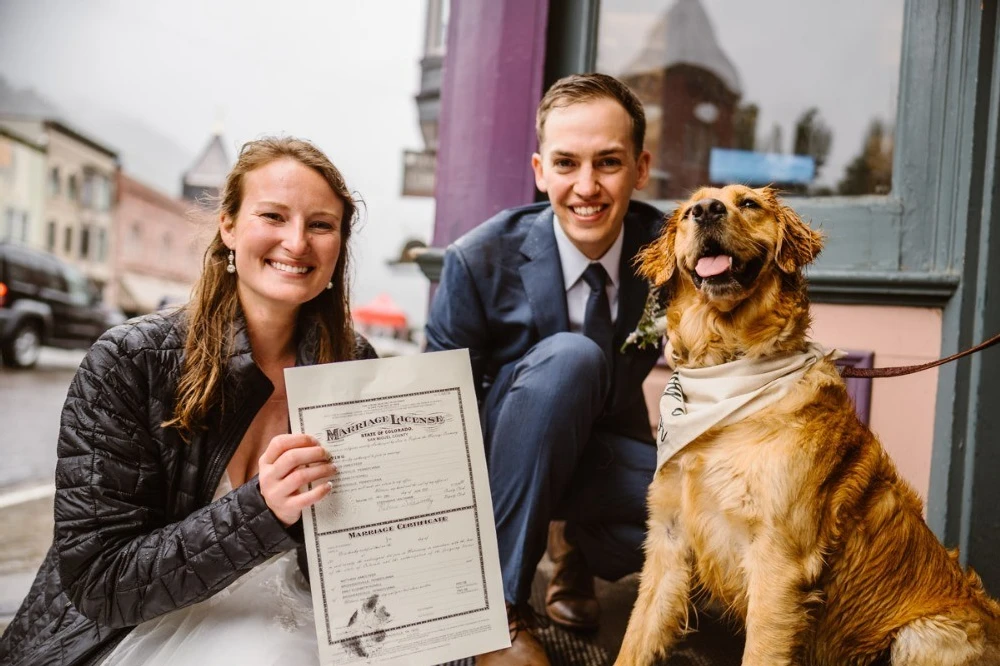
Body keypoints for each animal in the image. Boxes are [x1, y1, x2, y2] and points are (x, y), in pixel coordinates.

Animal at [616, 185, 1000, 664]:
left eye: (748, 204)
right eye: (689, 211)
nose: (707, 211)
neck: (726, 372)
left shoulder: (780, 562)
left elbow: (761, 650)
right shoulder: (668, 538)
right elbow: (634, 639)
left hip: (923, 634)